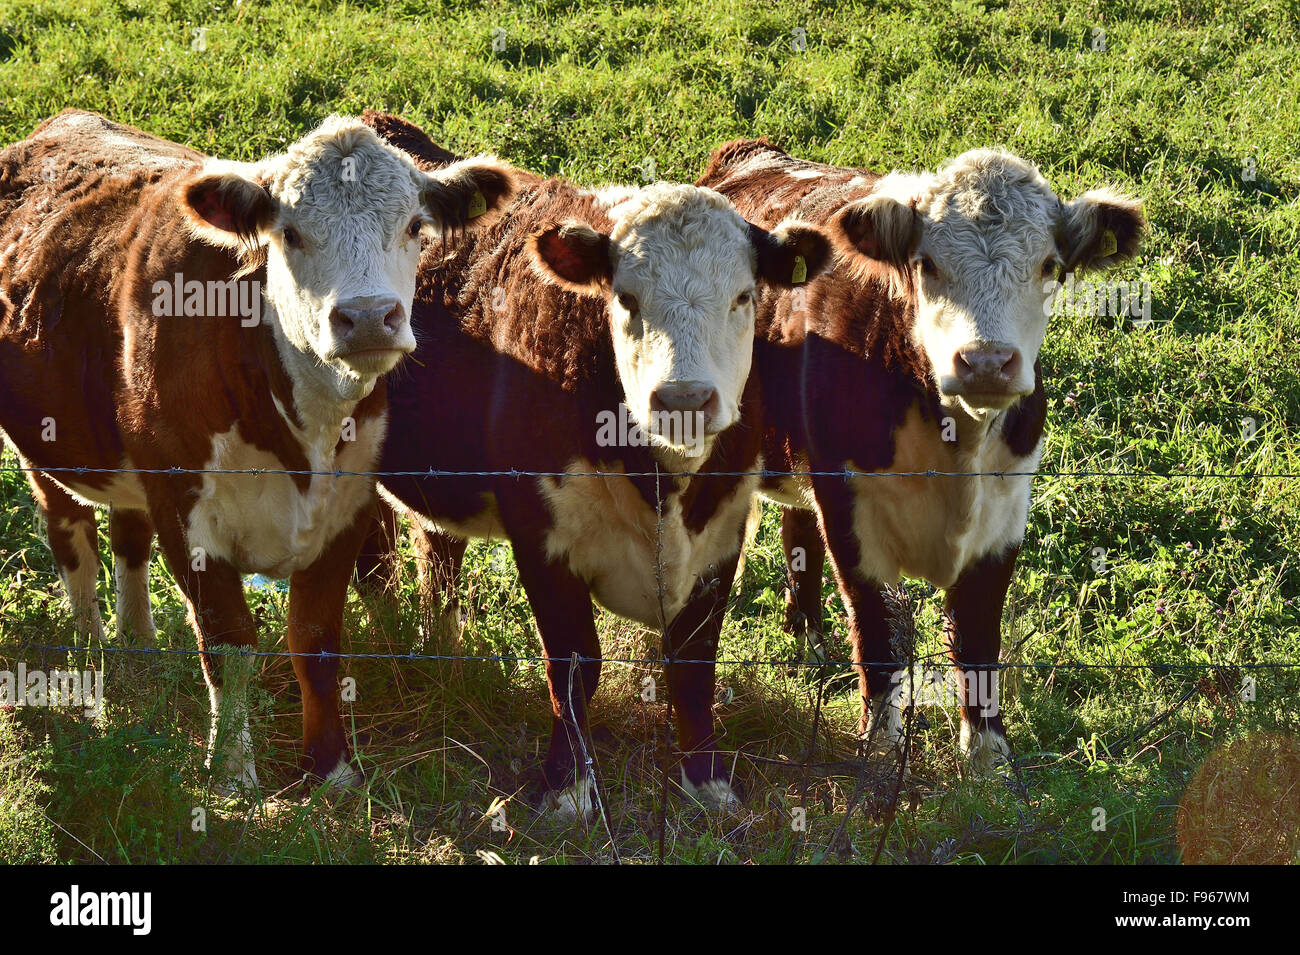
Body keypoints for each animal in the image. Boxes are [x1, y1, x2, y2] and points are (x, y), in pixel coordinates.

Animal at [0, 108, 512, 789]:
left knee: (127, 536)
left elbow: (316, 637)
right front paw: (231, 773)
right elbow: (229, 643)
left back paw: (138, 645)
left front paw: (332, 767)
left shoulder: (347, 504)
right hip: (48, 451)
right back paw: (93, 663)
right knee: (71, 537)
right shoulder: (185, 511)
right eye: (289, 233)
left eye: (414, 226)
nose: (368, 318)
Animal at [356, 110, 832, 815]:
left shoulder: (722, 530)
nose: (683, 399)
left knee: (434, 549)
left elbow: (695, 664)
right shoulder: (541, 532)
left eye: (745, 296)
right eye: (626, 298)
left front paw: (707, 780)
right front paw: (569, 786)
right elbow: (576, 663)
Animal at [702, 140, 1138, 769]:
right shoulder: (850, 511)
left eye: (1050, 267)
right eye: (927, 264)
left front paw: (988, 759)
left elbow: (978, 634)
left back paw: (808, 641)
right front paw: (880, 752)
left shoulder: (1005, 513)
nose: (986, 362)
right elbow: (878, 631)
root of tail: (753, 155)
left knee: (798, 531)